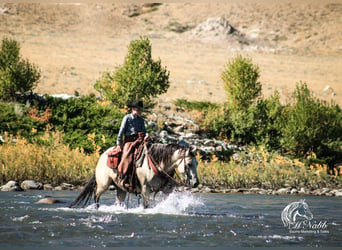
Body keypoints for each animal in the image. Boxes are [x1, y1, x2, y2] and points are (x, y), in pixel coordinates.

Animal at [68, 143, 199, 209]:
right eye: (189, 164)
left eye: (197, 163)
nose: (195, 183)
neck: (158, 165)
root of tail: (102, 156)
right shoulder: (145, 188)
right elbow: (146, 205)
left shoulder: (167, 189)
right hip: (103, 184)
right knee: (96, 196)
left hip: (120, 188)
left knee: (118, 201)